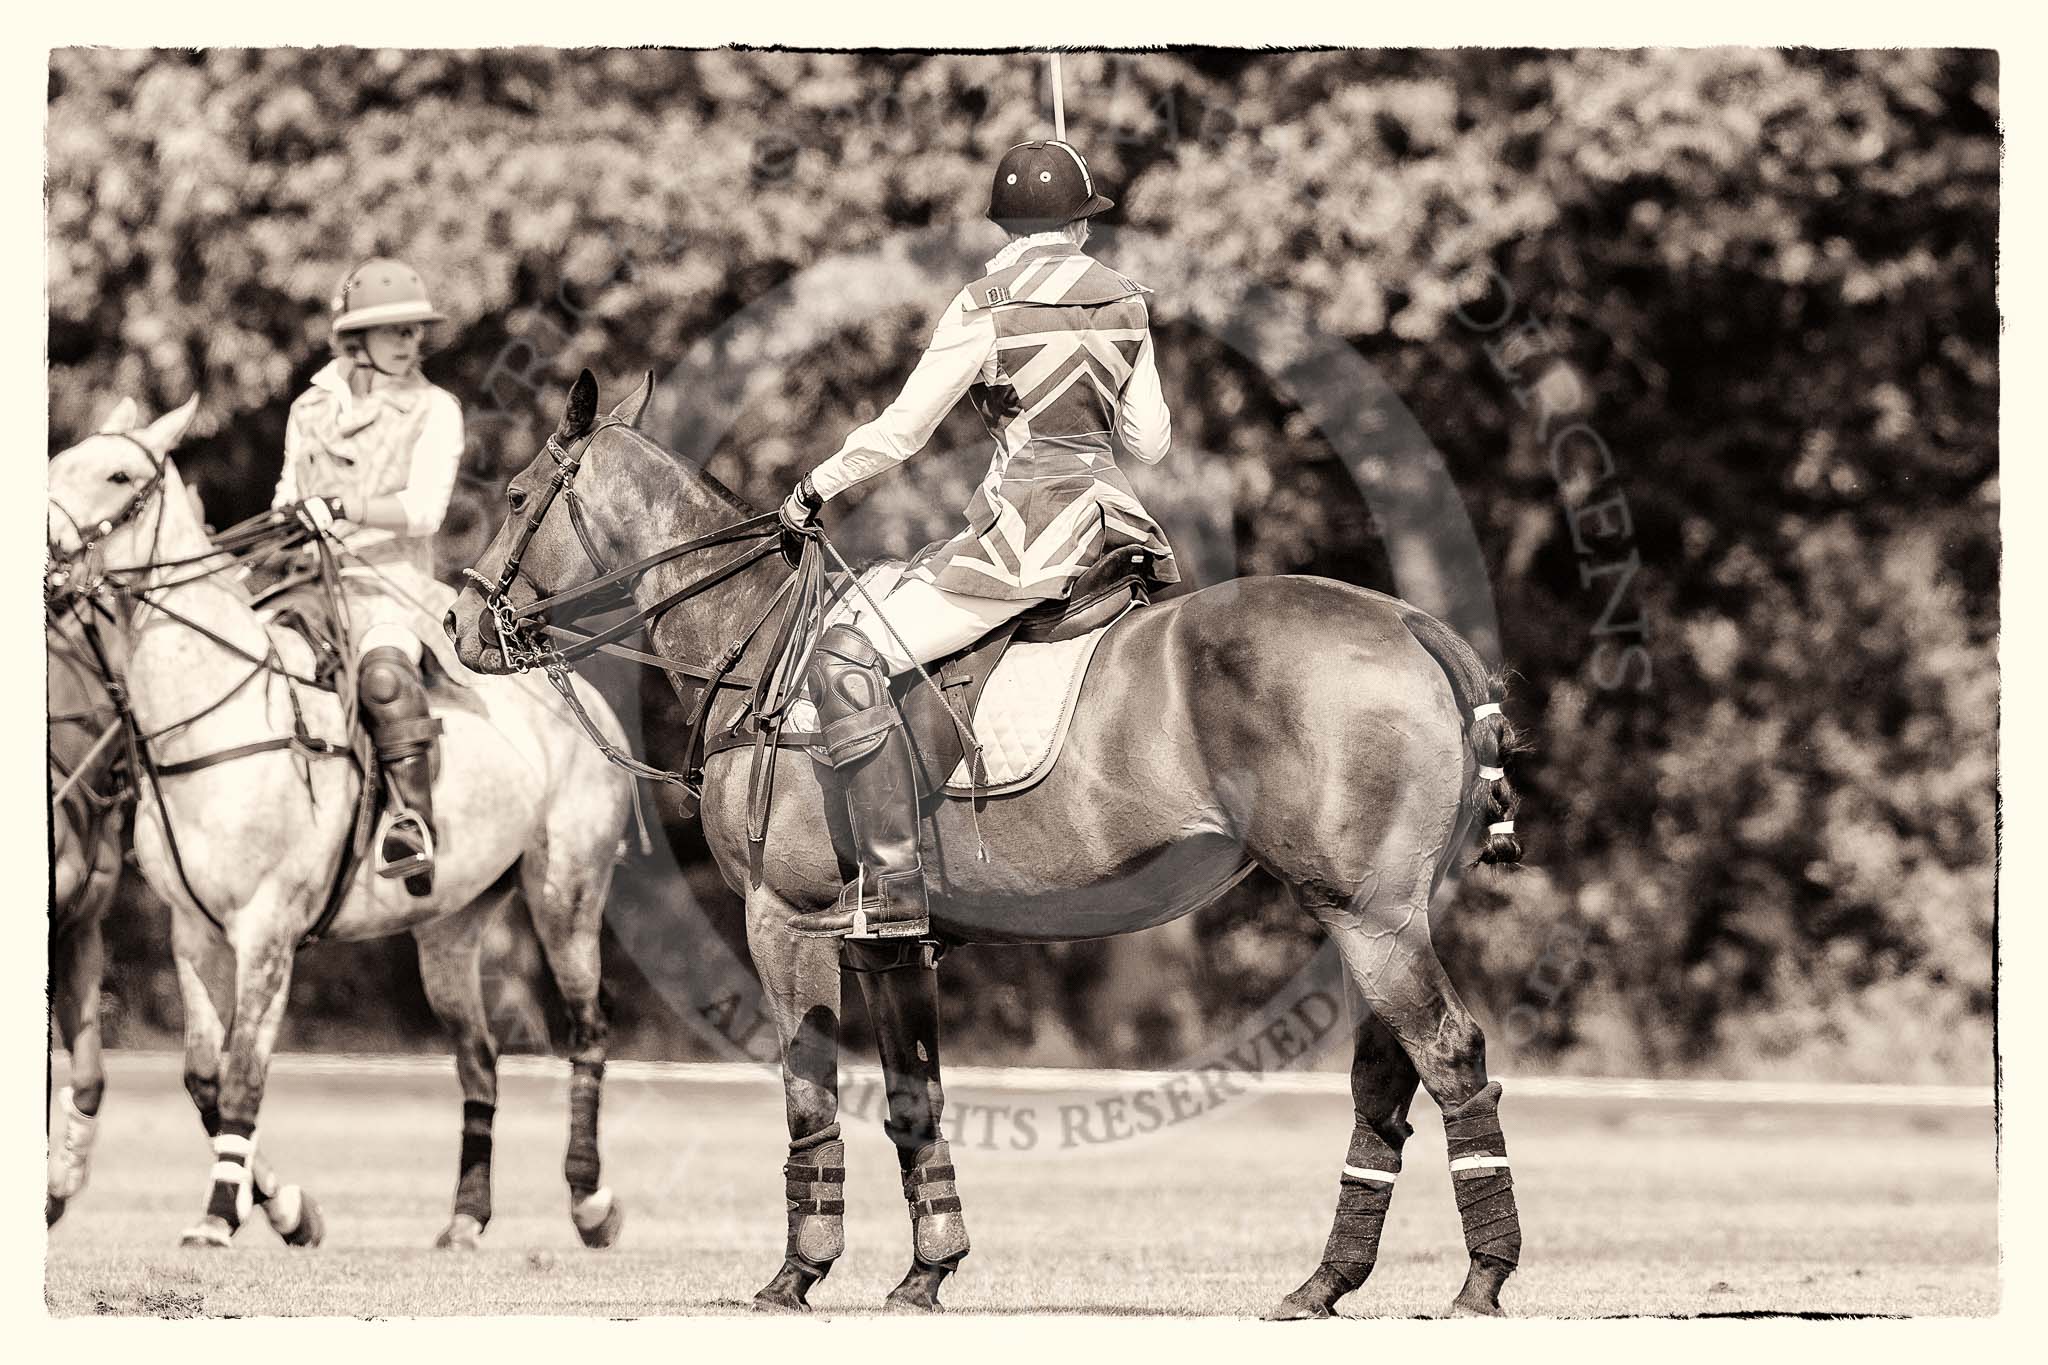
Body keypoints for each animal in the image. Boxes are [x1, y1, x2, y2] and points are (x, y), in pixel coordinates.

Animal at [452, 368, 1540, 1317]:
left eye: (515, 494)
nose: (464, 626)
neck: (757, 646)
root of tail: (1416, 627)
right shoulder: (891, 941)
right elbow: (912, 1099)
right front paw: (926, 1271)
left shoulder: (785, 919)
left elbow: (808, 1096)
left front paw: (797, 1274)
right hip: (1376, 913)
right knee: (1385, 1077)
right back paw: (1323, 1284)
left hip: (1366, 913)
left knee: (1447, 1052)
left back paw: (1479, 1279)